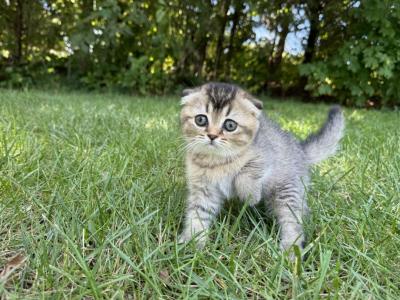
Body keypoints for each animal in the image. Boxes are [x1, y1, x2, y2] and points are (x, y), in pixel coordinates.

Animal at [178, 82, 344, 253]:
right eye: (201, 120)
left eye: (230, 125)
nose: (212, 136)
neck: (216, 160)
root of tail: (301, 150)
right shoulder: (203, 190)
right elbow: (198, 213)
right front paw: (192, 241)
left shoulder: (266, 158)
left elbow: (247, 171)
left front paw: (250, 195)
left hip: (287, 191)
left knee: (293, 220)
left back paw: (290, 250)